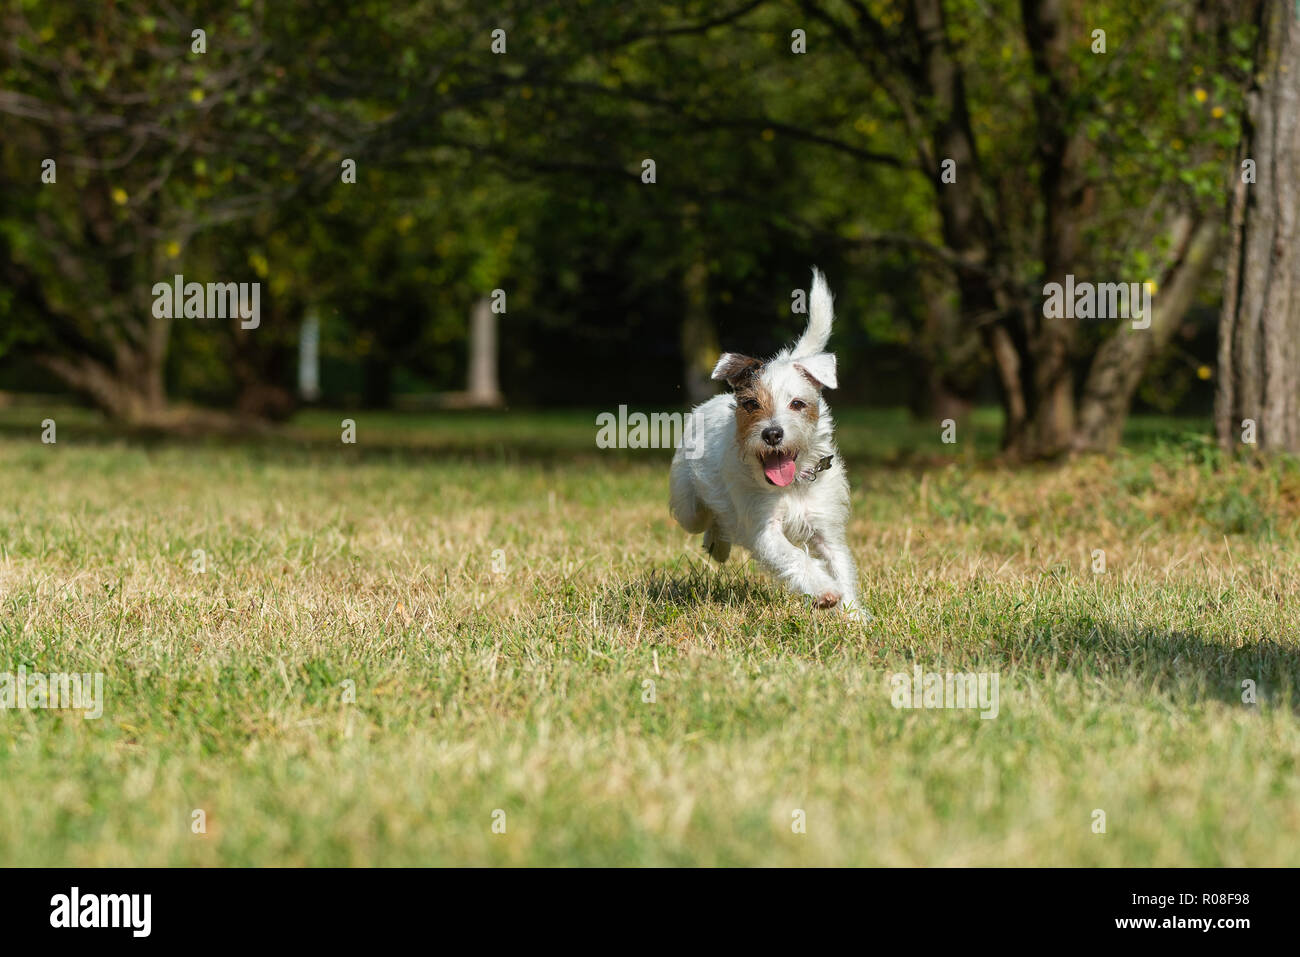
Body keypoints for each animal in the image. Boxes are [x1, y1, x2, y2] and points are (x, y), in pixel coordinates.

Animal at [670, 267, 863, 621]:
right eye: (751, 404)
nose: (772, 434)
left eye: (798, 404)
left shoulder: (827, 529)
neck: (794, 485)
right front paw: (825, 591)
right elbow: (797, 558)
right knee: (708, 518)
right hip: (688, 506)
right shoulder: (764, 530)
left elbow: (840, 566)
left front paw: (855, 617)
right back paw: (718, 541)